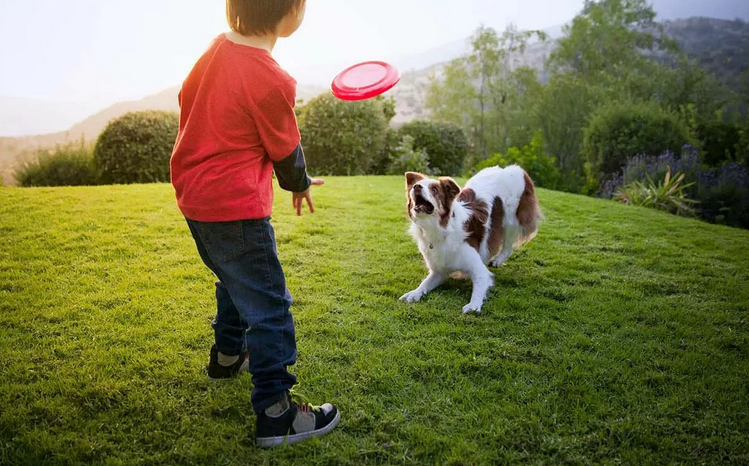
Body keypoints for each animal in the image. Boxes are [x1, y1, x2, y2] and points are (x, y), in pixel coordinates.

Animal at [404, 166, 536, 314]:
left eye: (434, 189)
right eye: (415, 185)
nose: (416, 187)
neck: (440, 230)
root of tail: (514, 168)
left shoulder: (480, 271)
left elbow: (478, 286)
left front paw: (473, 304)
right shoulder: (439, 271)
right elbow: (425, 283)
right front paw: (414, 293)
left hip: (511, 221)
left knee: (508, 247)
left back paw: (497, 260)